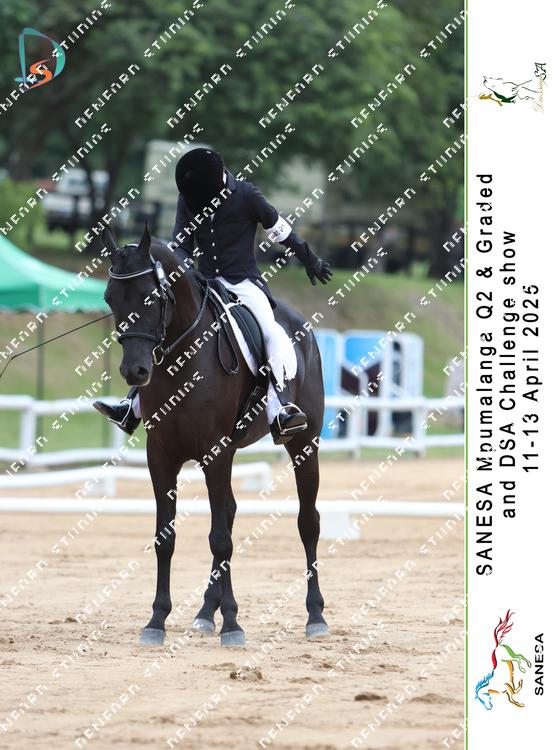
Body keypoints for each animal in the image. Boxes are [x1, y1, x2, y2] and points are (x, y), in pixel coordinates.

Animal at [101, 225, 328, 647]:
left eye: (151, 297)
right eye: (110, 298)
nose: (134, 372)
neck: (181, 359)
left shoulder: (215, 452)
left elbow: (220, 538)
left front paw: (233, 625)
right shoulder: (161, 456)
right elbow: (167, 537)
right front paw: (157, 620)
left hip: (303, 444)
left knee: (308, 522)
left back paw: (315, 615)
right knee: (230, 513)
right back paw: (208, 611)